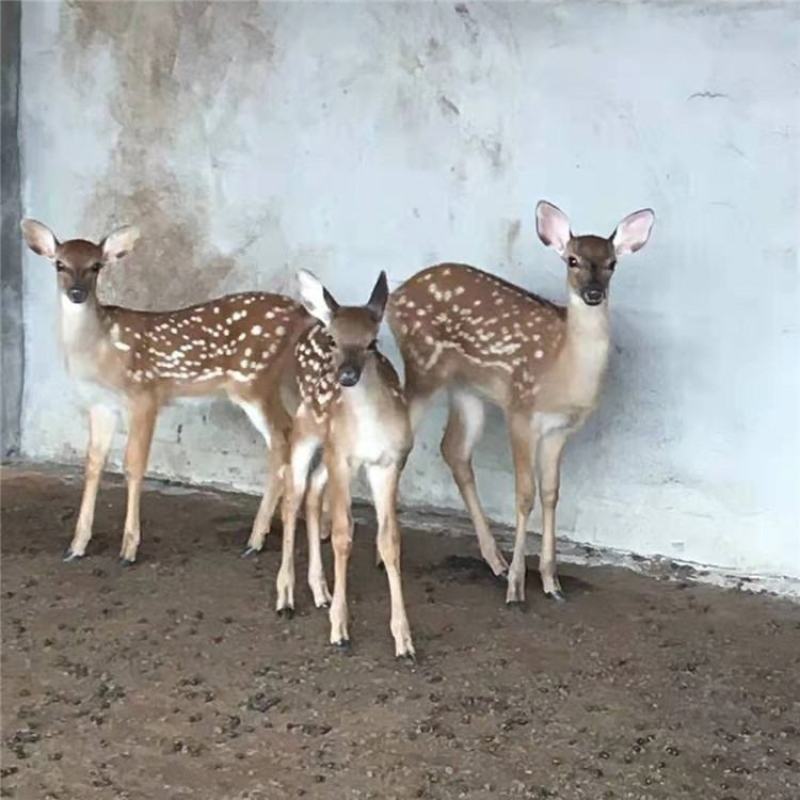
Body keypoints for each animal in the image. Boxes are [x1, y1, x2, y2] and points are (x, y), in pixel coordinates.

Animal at [20, 219, 313, 565]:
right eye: (60, 264)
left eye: (96, 266)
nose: (77, 293)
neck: (99, 350)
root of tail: (302, 313)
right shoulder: (101, 404)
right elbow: (93, 464)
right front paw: (77, 546)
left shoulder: (144, 394)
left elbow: (133, 464)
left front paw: (129, 549)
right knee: (288, 436)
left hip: (254, 379)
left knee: (282, 436)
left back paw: (256, 539)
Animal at [274, 269, 415, 659]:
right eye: (336, 341)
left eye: (373, 342)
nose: (347, 376)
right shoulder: (343, 459)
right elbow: (341, 535)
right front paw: (340, 629)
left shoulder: (390, 462)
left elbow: (389, 540)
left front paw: (404, 639)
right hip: (304, 430)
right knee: (292, 497)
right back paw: (286, 596)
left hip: (329, 449)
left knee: (311, 494)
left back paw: (319, 590)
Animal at [386, 201, 654, 605]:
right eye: (572, 260)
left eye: (612, 263)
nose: (593, 293)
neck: (562, 371)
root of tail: (394, 297)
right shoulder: (520, 411)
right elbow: (525, 494)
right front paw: (517, 586)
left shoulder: (560, 429)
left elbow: (551, 493)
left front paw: (550, 581)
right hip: (424, 368)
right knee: (399, 443)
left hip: (468, 390)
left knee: (454, 449)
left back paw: (493, 559)